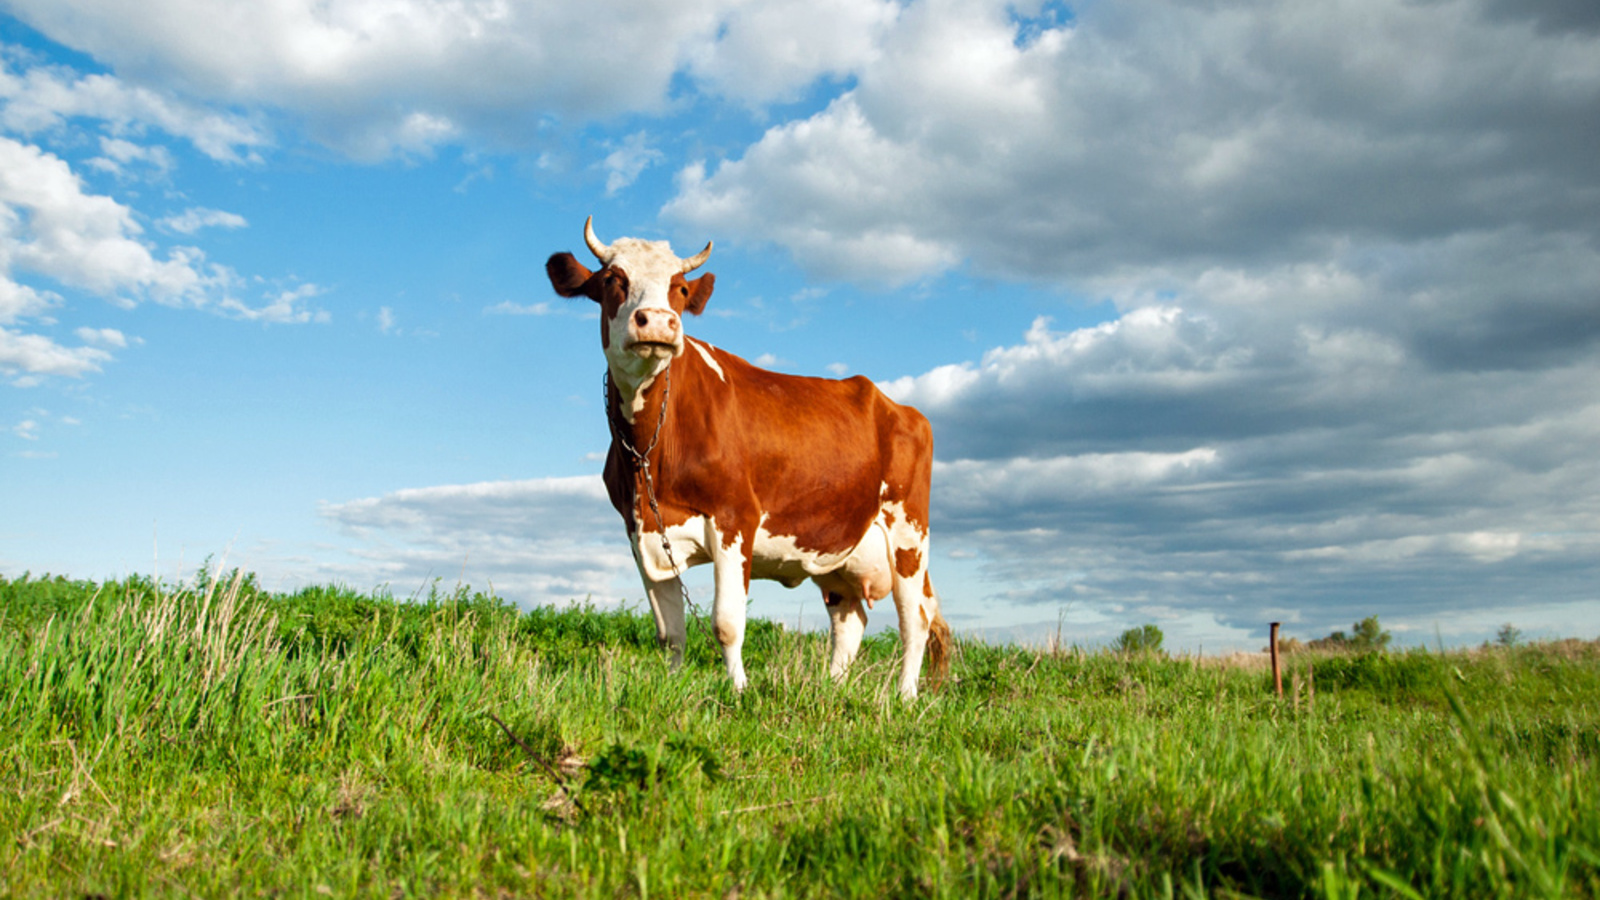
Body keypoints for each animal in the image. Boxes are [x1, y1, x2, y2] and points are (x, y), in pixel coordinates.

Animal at [550, 216, 947, 695]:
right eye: (612, 280)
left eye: (680, 288)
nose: (659, 323)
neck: (650, 449)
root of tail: (897, 406)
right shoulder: (639, 529)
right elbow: (670, 632)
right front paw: (672, 687)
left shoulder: (735, 518)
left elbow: (726, 623)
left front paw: (738, 690)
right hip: (838, 547)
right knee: (851, 620)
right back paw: (832, 689)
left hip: (908, 530)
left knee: (916, 618)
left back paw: (905, 696)